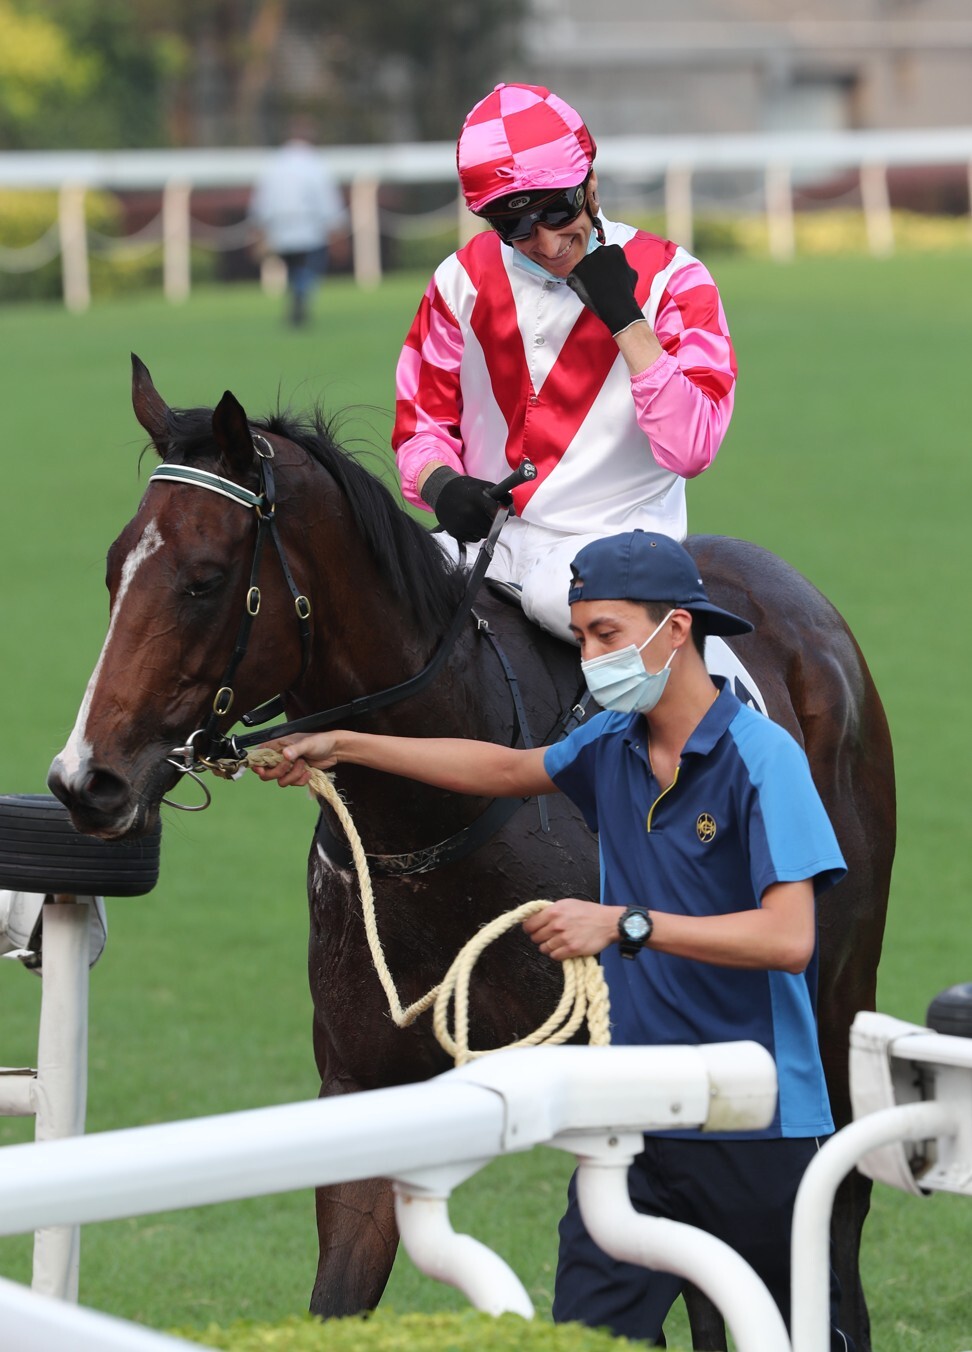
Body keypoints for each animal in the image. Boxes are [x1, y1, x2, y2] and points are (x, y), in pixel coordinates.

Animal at [47, 359, 897, 1352]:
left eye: (205, 579)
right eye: (113, 569)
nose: (86, 780)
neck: (432, 835)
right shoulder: (364, 1084)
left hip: (834, 992)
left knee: (832, 1211)